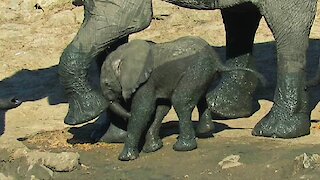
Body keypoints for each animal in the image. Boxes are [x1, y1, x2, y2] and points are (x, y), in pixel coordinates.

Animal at [100, 36, 264, 160]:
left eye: (107, 84)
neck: (124, 55)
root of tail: (217, 60)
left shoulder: (146, 82)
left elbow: (144, 110)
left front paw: (125, 158)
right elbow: (160, 108)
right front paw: (153, 148)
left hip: (196, 70)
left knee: (180, 101)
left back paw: (182, 147)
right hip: (202, 74)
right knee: (200, 98)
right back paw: (204, 132)